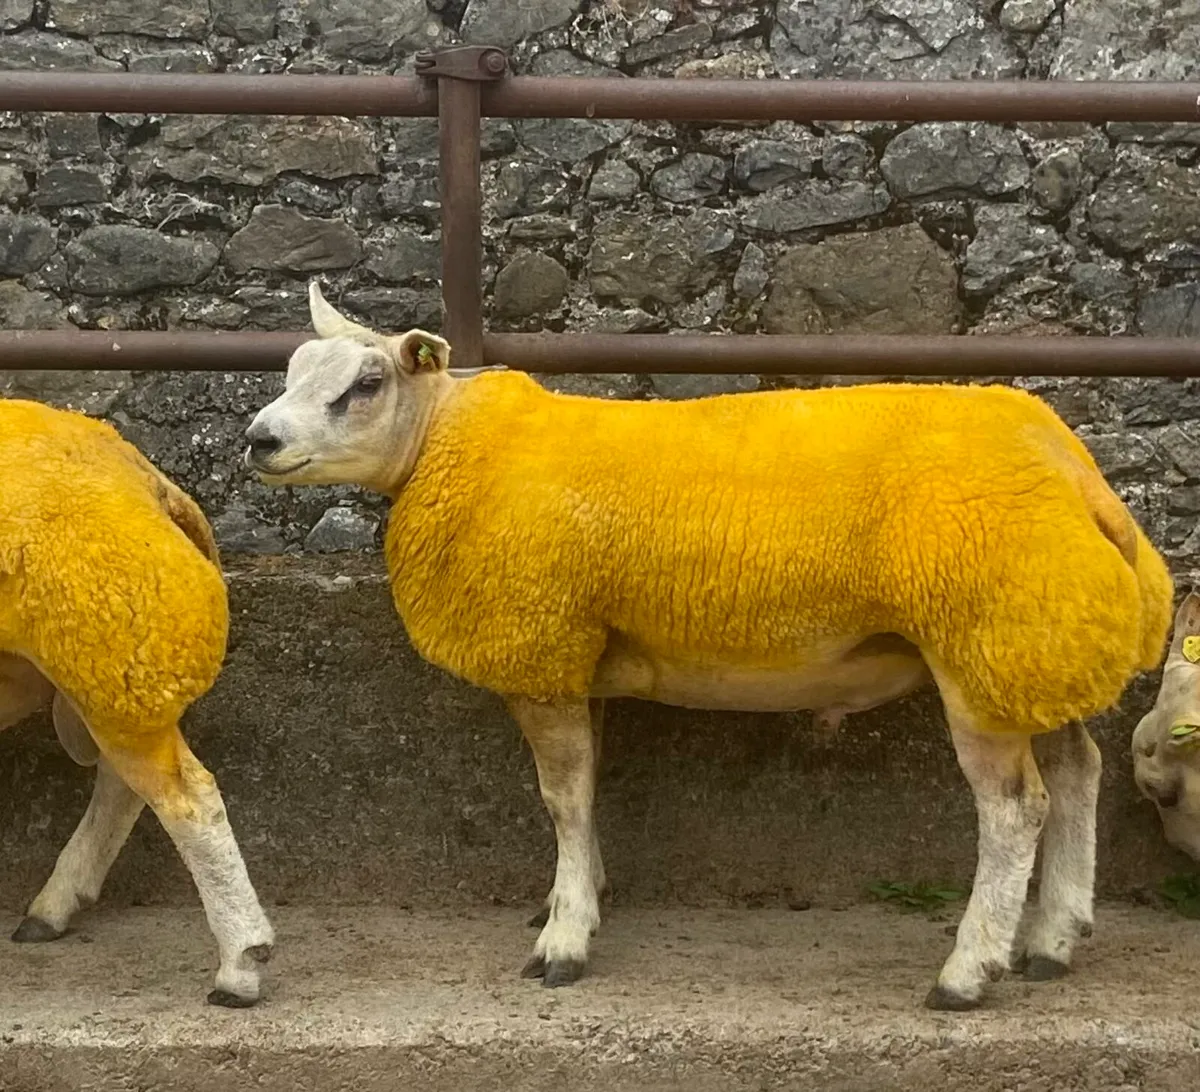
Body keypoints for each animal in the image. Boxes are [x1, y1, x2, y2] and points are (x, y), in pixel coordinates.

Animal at [1, 397, 274, 1008]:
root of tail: (143, 475)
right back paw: (55, 905)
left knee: (189, 801)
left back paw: (240, 963)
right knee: (124, 785)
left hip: (112, 656)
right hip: (104, 668)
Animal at [243, 283, 1173, 1011]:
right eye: (292, 371)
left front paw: (564, 941)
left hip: (986, 639)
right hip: (1039, 642)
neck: (442, 444)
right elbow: (586, 792)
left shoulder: (543, 650)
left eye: (366, 383)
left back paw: (969, 970)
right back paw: (1054, 938)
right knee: (1079, 770)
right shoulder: (583, 649)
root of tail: (1075, 469)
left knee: (1016, 809)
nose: (259, 439)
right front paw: (579, 895)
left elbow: (563, 799)